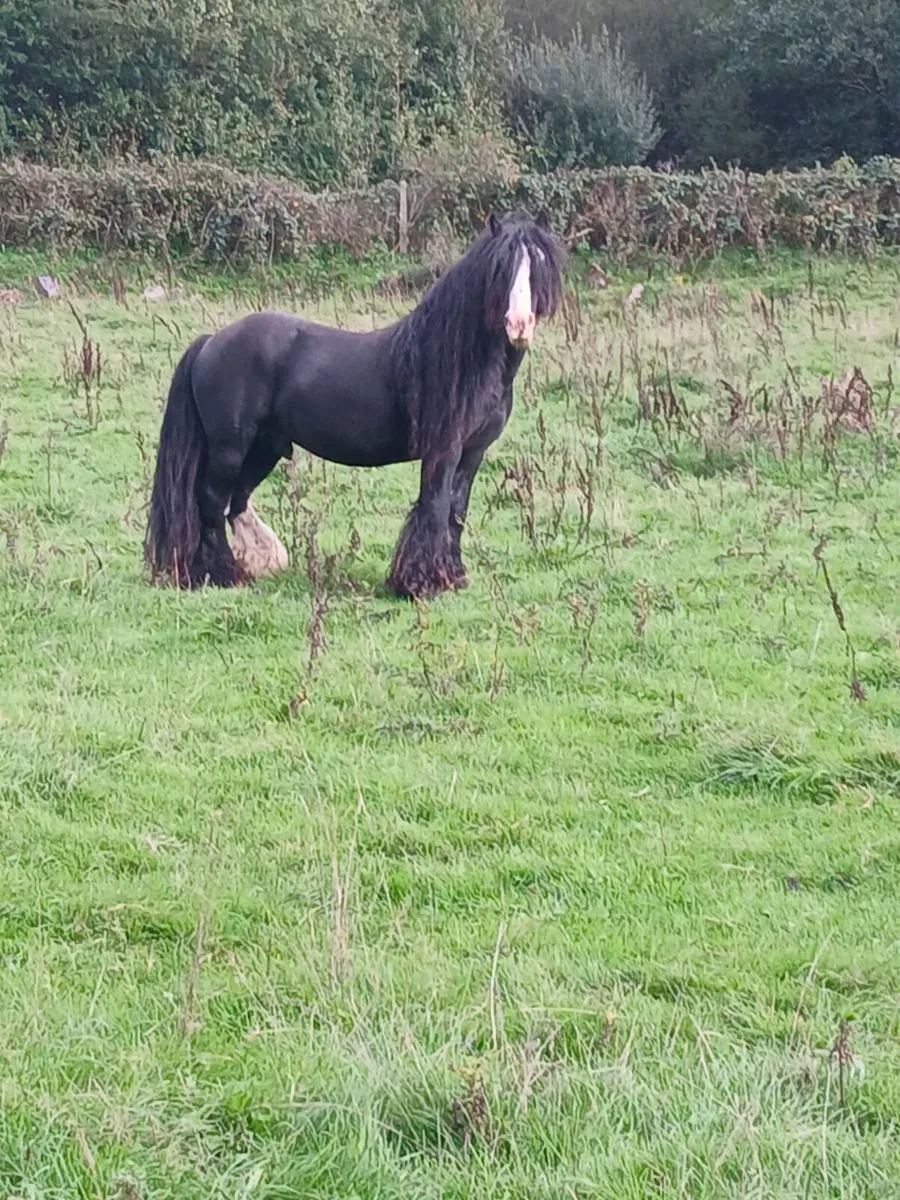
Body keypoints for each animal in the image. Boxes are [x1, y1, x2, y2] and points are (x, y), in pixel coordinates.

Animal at [144, 211, 564, 599]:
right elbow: (435, 506)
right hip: (230, 448)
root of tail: (211, 341)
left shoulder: (473, 452)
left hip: (264, 448)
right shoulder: (443, 450)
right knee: (212, 502)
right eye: (499, 268)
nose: (519, 324)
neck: (459, 359)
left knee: (237, 501)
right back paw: (217, 574)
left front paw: (454, 576)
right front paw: (419, 583)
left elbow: (456, 512)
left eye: (540, 264)